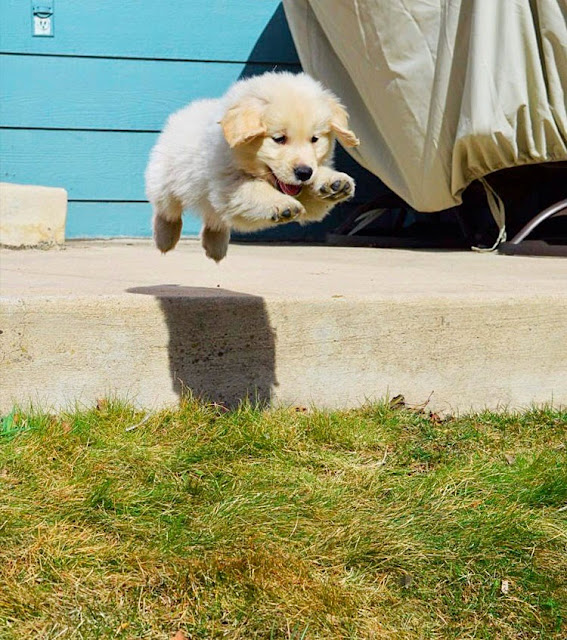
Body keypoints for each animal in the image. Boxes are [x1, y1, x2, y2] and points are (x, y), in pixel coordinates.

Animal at [146, 70, 360, 260]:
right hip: (166, 178)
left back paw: (216, 248)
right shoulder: (229, 187)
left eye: (314, 139)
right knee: (167, 209)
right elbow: (256, 190)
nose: (304, 172)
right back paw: (166, 238)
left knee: (215, 219)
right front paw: (282, 205)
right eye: (279, 139)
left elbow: (313, 199)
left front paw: (334, 182)